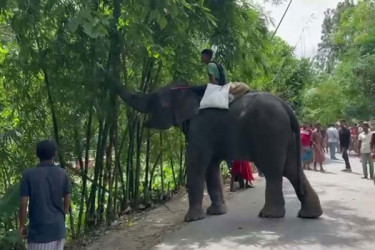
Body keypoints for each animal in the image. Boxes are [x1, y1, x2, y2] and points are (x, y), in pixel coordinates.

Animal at [116, 81, 324, 222]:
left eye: (154, 100)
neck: (187, 91)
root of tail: (286, 107)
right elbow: (211, 166)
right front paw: (216, 213)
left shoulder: (200, 128)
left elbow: (196, 162)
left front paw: (192, 219)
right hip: (284, 135)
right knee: (291, 169)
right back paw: (309, 215)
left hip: (270, 132)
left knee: (274, 170)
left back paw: (269, 215)